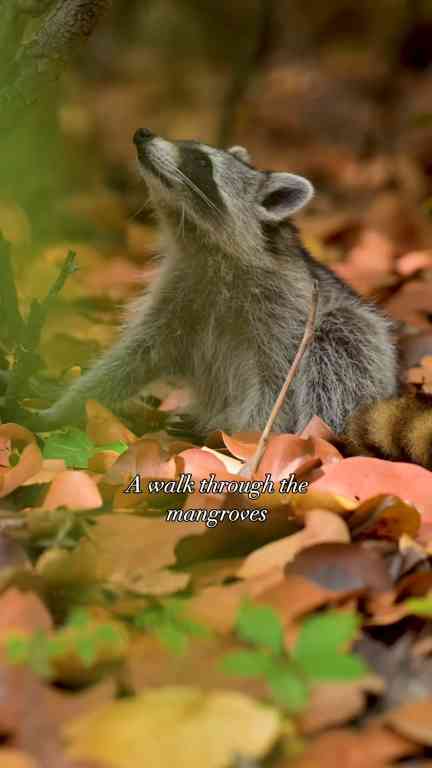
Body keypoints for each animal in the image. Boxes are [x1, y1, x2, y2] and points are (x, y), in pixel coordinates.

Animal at [35, 129, 399, 438]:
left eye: (201, 161)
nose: (142, 134)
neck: (203, 245)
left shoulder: (287, 308)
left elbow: (278, 384)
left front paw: (248, 440)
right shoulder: (177, 291)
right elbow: (135, 356)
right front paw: (69, 404)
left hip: (354, 341)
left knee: (340, 349)